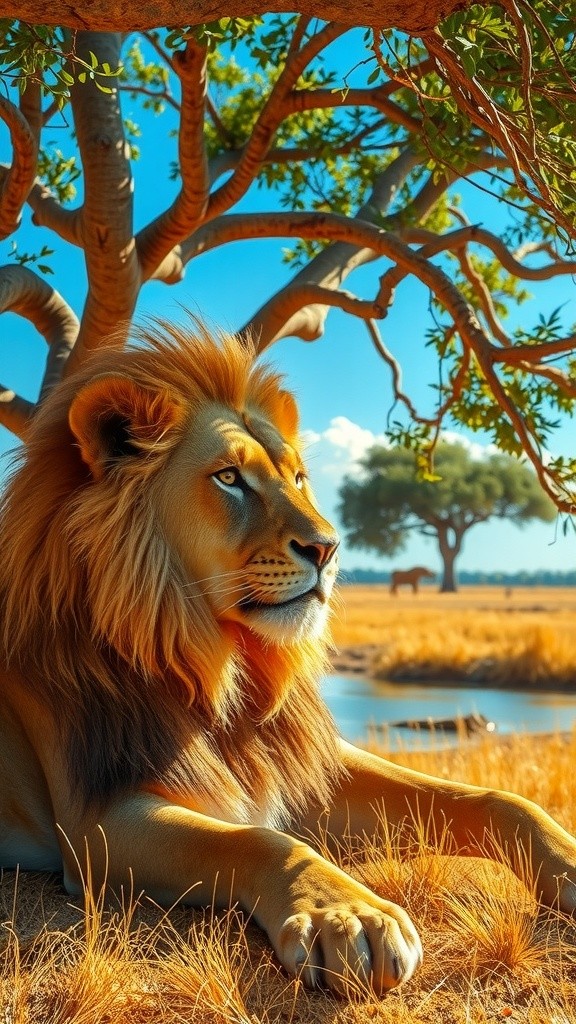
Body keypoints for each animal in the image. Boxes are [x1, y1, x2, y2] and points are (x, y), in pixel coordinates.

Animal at [0, 320, 575, 998]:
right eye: (229, 478)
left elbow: (491, 799)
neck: (221, 672)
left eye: (298, 478)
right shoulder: (96, 824)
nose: (328, 548)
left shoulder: (301, 762)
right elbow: (261, 840)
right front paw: (351, 915)